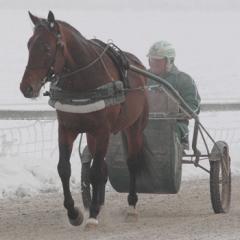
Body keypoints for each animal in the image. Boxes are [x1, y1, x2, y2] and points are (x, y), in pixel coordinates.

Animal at [20, 11, 148, 228]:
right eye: (29, 45)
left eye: (46, 48)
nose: (26, 87)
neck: (82, 82)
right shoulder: (66, 128)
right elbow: (64, 169)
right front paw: (75, 213)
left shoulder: (103, 130)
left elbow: (95, 172)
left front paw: (93, 215)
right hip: (91, 133)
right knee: (101, 167)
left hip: (135, 125)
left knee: (132, 162)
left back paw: (131, 206)